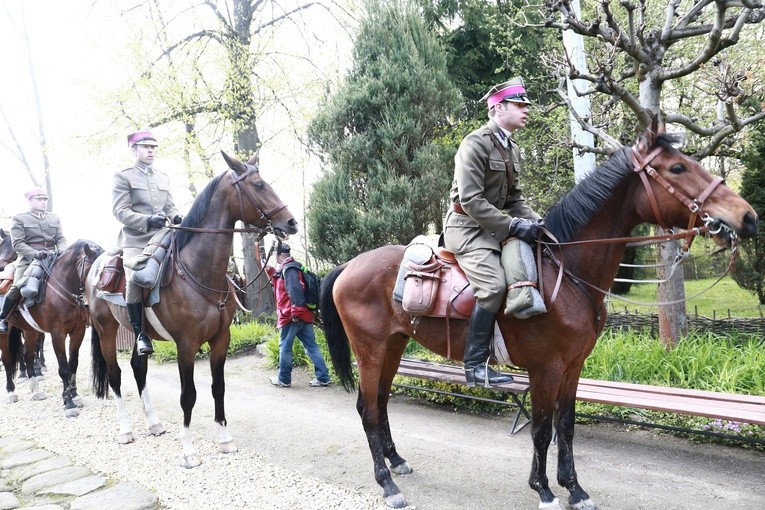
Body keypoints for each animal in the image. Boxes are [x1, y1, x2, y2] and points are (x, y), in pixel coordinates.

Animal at [5, 240, 104, 414]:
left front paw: (74, 395)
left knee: (27, 355)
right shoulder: (57, 334)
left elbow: (73, 364)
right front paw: (68, 403)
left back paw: (36, 390)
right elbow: (63, 368)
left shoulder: (78, 332)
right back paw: (11, 392)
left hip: (30, 331)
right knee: (6, 359)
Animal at [86, 150, 296, 466]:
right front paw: (188, 451)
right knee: (115, 375)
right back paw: (125, 430)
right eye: (259, 185)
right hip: (106, 331)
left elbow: (218, 388)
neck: (199, 272)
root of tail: (97, 264)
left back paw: (154, 423)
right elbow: (188, 395)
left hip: (137, 335)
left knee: (138, 368)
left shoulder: (221, 339)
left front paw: (225, 439)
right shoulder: (186, 346)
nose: (291, 223)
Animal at [320, 122, 756, 510]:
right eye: (677, 168)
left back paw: (396, 461)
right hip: (371, 351)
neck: (567, 272)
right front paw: (544, 490)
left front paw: (574, 489)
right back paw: (387, 483)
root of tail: (348, 265)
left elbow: (566, 425)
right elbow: (543, 430)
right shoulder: (546, 368)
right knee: (368, 409)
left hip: (393, 347)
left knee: (381, 402)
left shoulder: (573, 367)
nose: (747, 217)